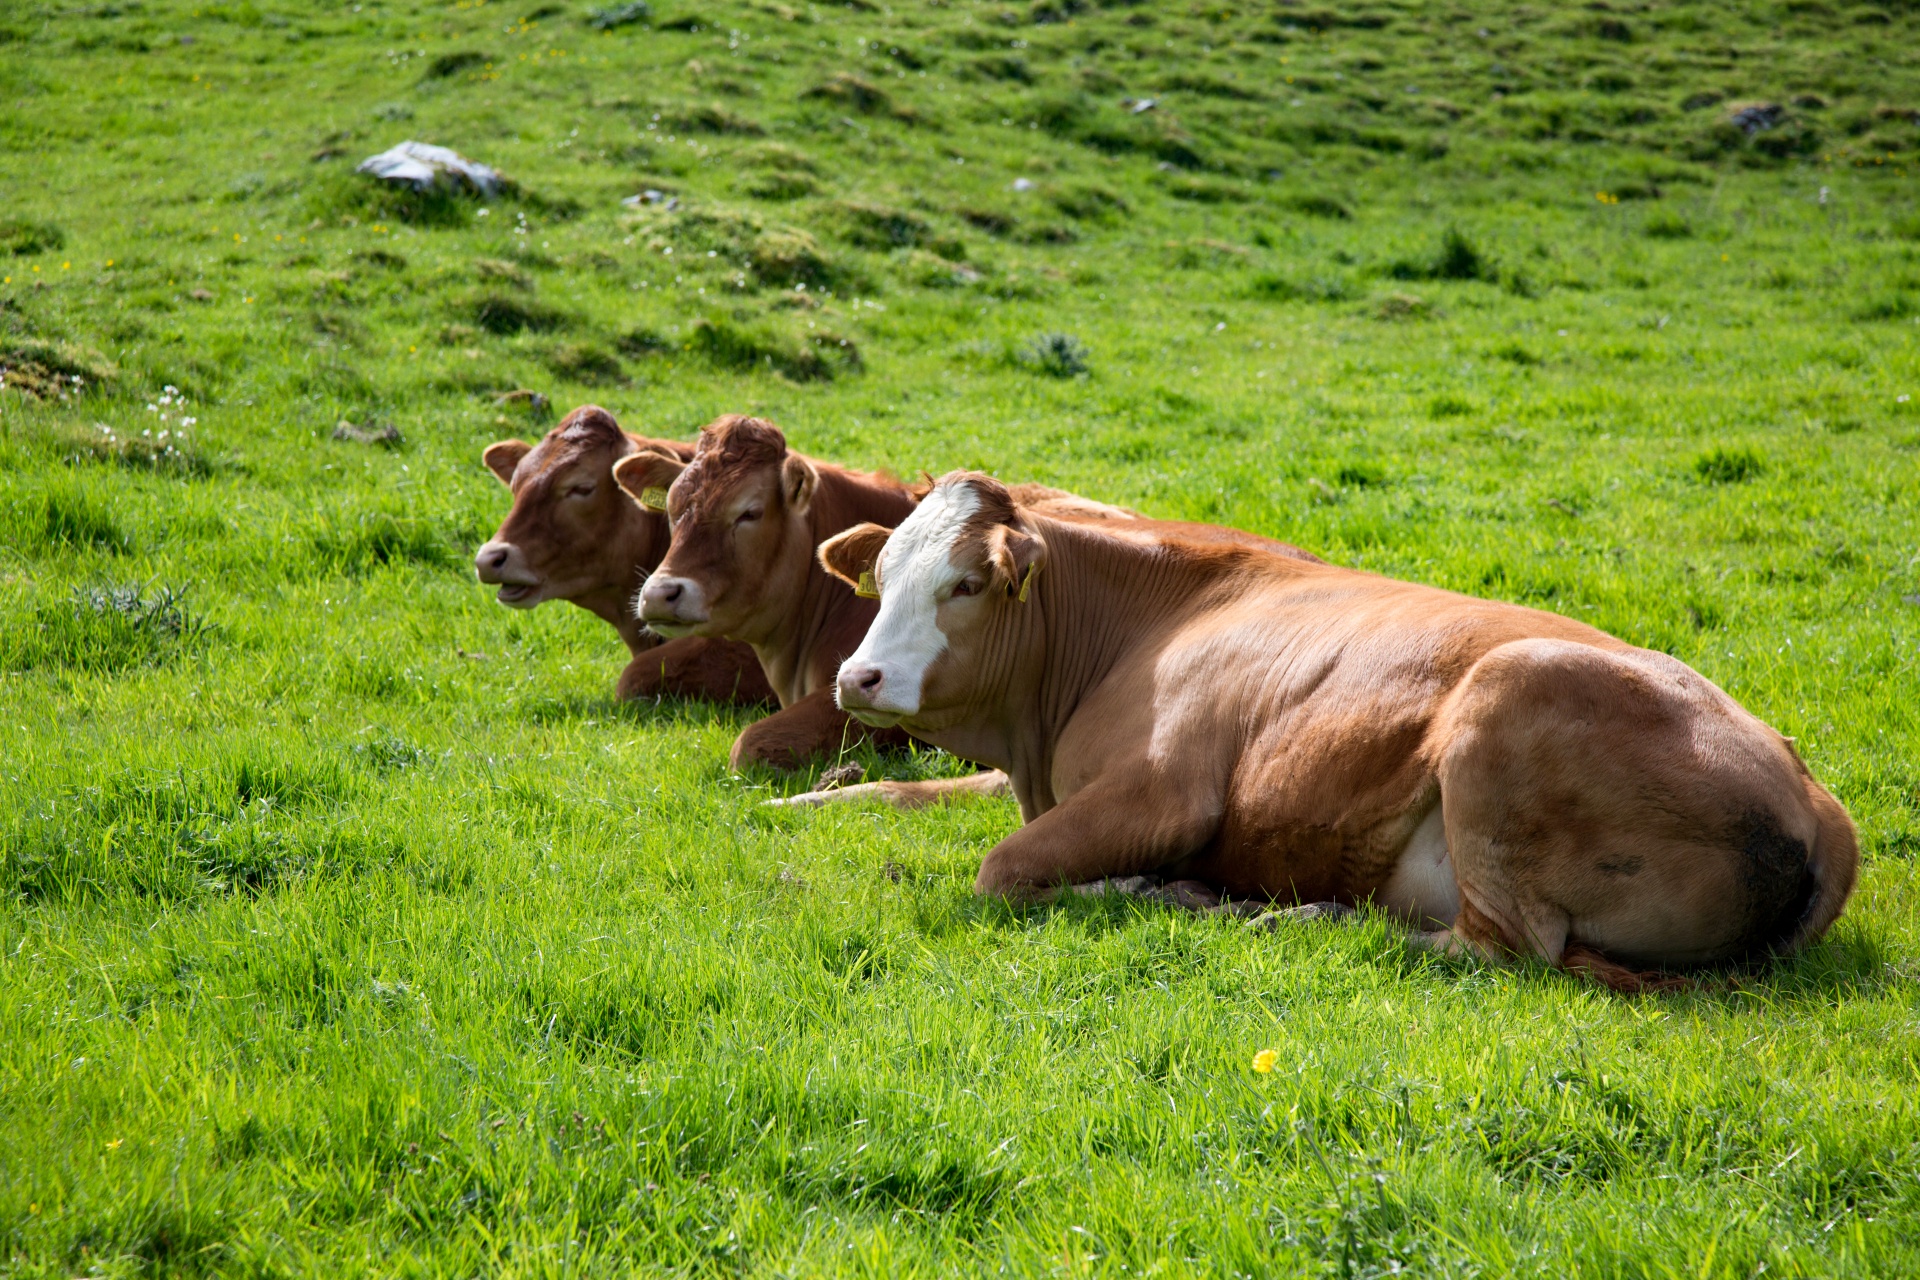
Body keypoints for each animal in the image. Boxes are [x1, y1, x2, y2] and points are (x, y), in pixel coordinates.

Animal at [821, 470, 1858, 990]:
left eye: (966, 583)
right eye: (884, 575)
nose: (855, 677)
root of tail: (1814, 799)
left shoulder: (1165, 794)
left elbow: (1003, 871)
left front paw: (1148, 888)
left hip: (1506, 701)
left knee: (1496, 948)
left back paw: (1284, 912)